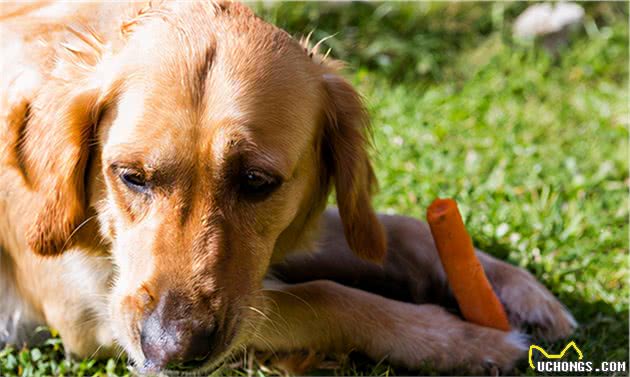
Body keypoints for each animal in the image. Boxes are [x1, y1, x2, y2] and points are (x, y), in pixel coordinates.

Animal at [1, 0, 576, 374]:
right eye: (130, 177)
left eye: (257, 181)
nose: (170, 350)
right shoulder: (92, 316)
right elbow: (317, 296)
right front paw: (462, 339)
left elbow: (402, 230)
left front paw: (517, 288)